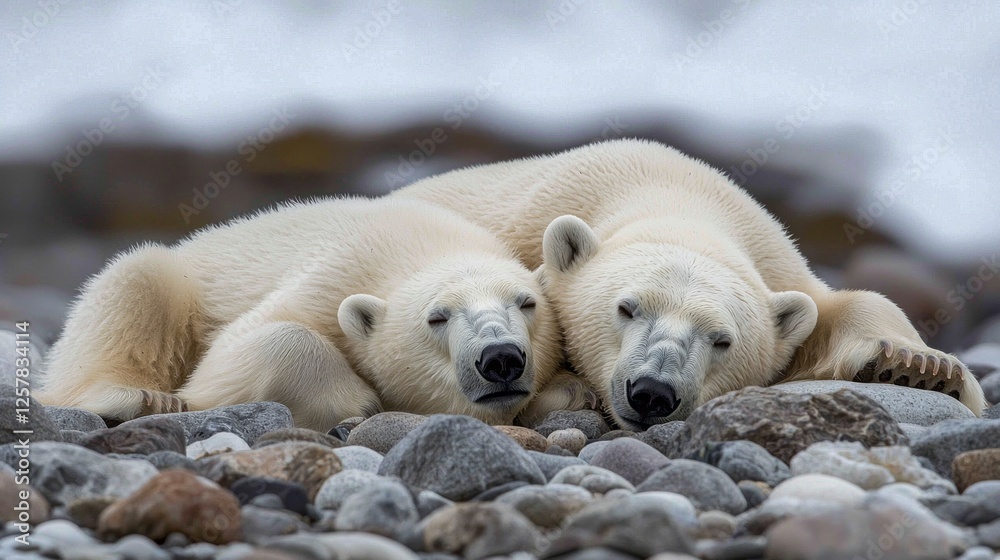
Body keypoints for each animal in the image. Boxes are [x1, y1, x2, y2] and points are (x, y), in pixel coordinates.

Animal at [38, 197, 588, 431]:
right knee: (137, 278)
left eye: (526, 303)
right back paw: (137, 396)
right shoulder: (331, 276)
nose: (500, 358)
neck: (420, 243)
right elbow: (239, 351)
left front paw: (568, 390)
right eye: (437, 317)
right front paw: (354, 399)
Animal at [393, 139, 986, 429]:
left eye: (722, 339)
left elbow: (839, 306)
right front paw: (568, 388)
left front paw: (917, 367)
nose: (652, 392)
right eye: (626, 309)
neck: (672, 194)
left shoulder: (774, 261)